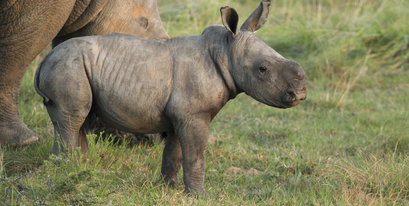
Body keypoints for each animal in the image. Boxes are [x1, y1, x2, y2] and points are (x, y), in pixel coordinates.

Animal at [35, 0, 306, 196]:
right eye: (263, 69)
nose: (301, 92)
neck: (224, 50)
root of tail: (44, 61)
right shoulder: (195, 115)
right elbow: (195, 156)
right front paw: (200, 196)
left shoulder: (182, 115)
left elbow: (174, 153)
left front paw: (169, 188)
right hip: (68, 67)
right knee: (72, 120)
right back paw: (70, 177)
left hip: (72, 67)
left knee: (75, 122)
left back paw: (78, 174)